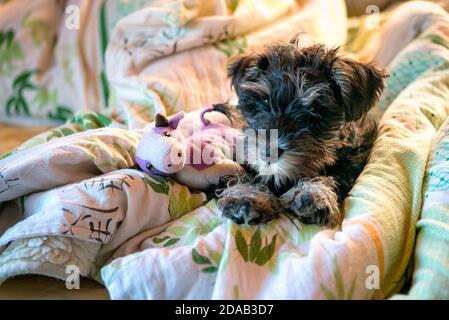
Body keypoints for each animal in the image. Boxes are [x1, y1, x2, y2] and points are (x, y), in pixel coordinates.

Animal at [215, 38, 386, 228]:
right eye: (264, 100)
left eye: (315, 110)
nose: (269, 153)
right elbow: (248, 175)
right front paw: (247, 196)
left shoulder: (354, 158)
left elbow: (330, 176)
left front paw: (312, 194)